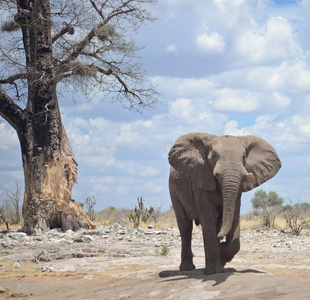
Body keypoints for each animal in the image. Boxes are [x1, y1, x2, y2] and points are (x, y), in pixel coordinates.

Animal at [168, 132, 282, 276]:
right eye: (214, 156)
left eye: (244, 157)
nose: (222, 238)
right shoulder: (200, 178)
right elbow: (208, 217)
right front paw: (214, 271)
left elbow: (234, 217)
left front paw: (222, 254)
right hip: (173, 190)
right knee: (185, 227)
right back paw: (187, 268)